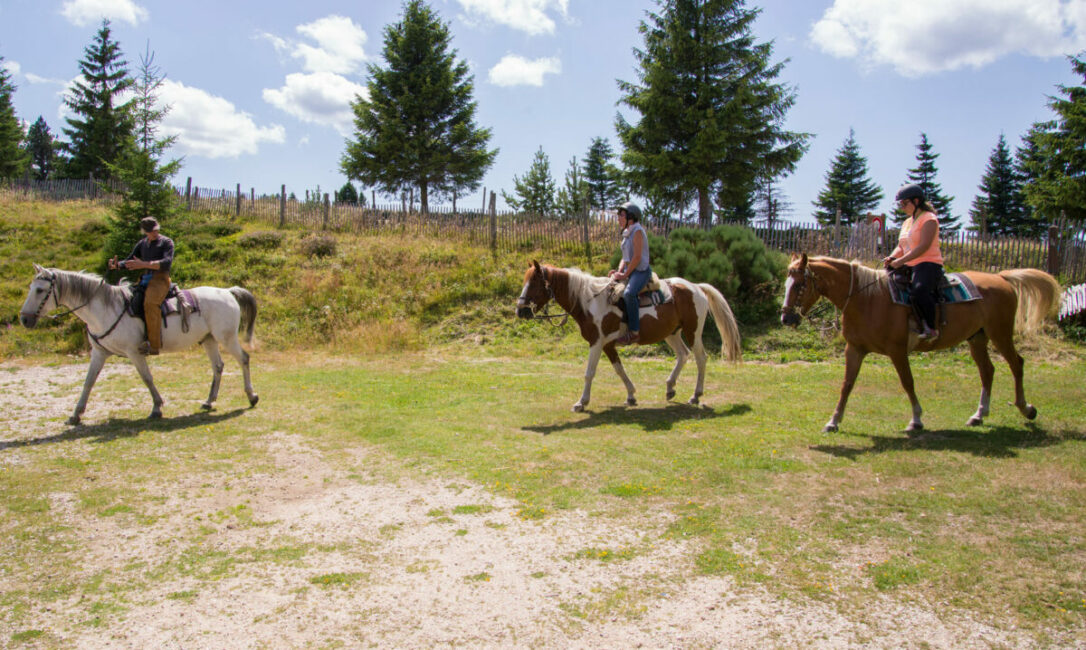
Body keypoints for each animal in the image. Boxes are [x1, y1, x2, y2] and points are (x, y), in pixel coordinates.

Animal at [20, 265, 260, 425]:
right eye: (31, 287)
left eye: (40, 290)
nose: (24, 319)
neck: (105, 309)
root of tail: (228, 291)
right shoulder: (99, 352)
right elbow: (88, 382)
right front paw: (76, 414)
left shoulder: (134, 352)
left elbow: (147, 378)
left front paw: (156, 408)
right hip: (208, 339)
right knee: (218, 366)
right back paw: (209, 401)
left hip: (226, 338)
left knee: (244, 359)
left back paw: (251, 396)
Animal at [514, 260, 738, 410]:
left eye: (534, 283)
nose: (520, 311)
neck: (590, 301)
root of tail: (696, 287)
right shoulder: (607, 344)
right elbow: (619, 370)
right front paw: (631, 395)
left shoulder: (596, 343)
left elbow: (589, 373)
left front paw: (581, 402)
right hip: (672, 333)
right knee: (683, 355)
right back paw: (670, 388)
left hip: (693, 332)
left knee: (701, 358)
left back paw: (696, 395)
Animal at [781, 253, 1059, 431]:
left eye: (799, 283)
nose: (785, 317)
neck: (866, 298)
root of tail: (1001, 278)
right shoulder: (855, 349)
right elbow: (847, 385)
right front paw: (834, 421)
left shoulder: (897, 350)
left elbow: (907, 382)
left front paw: (916, 420)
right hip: (977, 337)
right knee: (987, 371)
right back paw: (979, 415)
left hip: (1000, 333)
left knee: (1016, 364)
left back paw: (1026, 408)